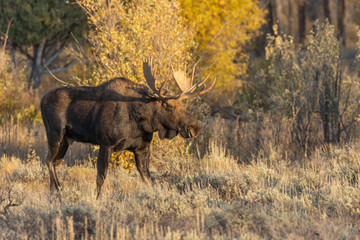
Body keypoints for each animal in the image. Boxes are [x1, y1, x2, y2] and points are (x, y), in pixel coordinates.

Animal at [40, 61, 214, 198]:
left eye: (182, 104)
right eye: (169, 105)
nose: (194, 127)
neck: (140, 123)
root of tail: (41, 100)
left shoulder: (142, 149)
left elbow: (148, 179)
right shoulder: (106, 144)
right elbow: (100, 177)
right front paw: (97, 199)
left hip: (65, 140)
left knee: (55, 163)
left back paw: (53, 193)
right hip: (55, 134)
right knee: (48, 161)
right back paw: (59, 190)